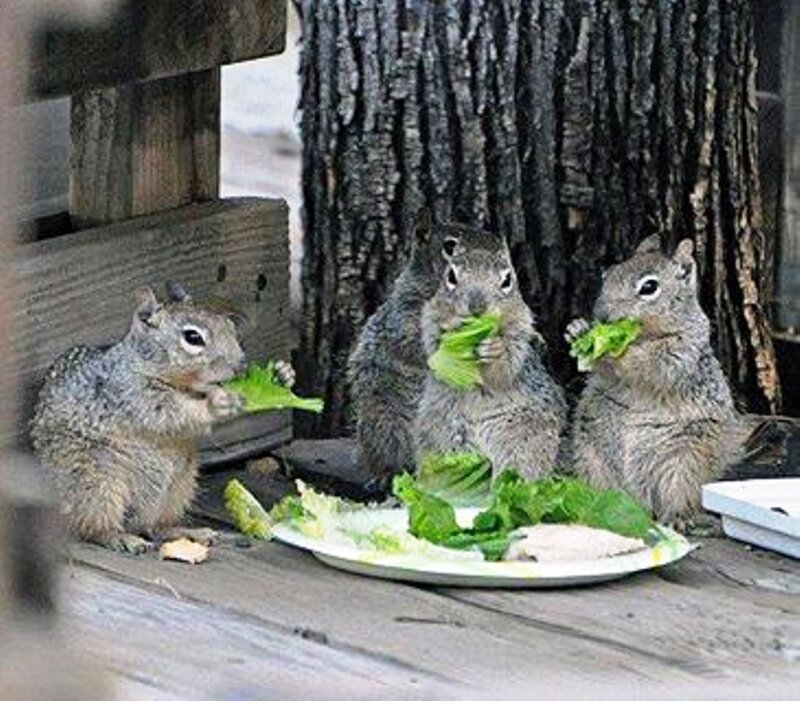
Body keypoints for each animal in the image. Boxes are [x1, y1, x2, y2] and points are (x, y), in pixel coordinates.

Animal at [31, 283, 294, 554]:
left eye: (230, 327)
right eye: (193, 338)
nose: (240, 367)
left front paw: (283, 374)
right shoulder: (134, 395)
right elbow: (171, 414)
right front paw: (216, 403)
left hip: (178, 487)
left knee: (154, 528)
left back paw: (188, 532)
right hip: (98, 483)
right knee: (93, 526)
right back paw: (120, 537)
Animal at [412, 225, 567, 477]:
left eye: (507, 280)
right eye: (451, 276)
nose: (477, 308)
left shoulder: (521, 331)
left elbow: (506, 367)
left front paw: (495, 349)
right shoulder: (428, 318)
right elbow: (435, 350)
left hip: (522, 438)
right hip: (442, 438)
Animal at [566, 235, 739, 527]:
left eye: (649, 287)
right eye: (607, 274)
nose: (601, 315)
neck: (643, 336)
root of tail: (638, 502)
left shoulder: (682, 352)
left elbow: (654, 365)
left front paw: (621, 350)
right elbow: (604, 371)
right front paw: (578, 330)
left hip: (686, 461)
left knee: (679, 494)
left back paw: (676, 517)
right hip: (592, 459)